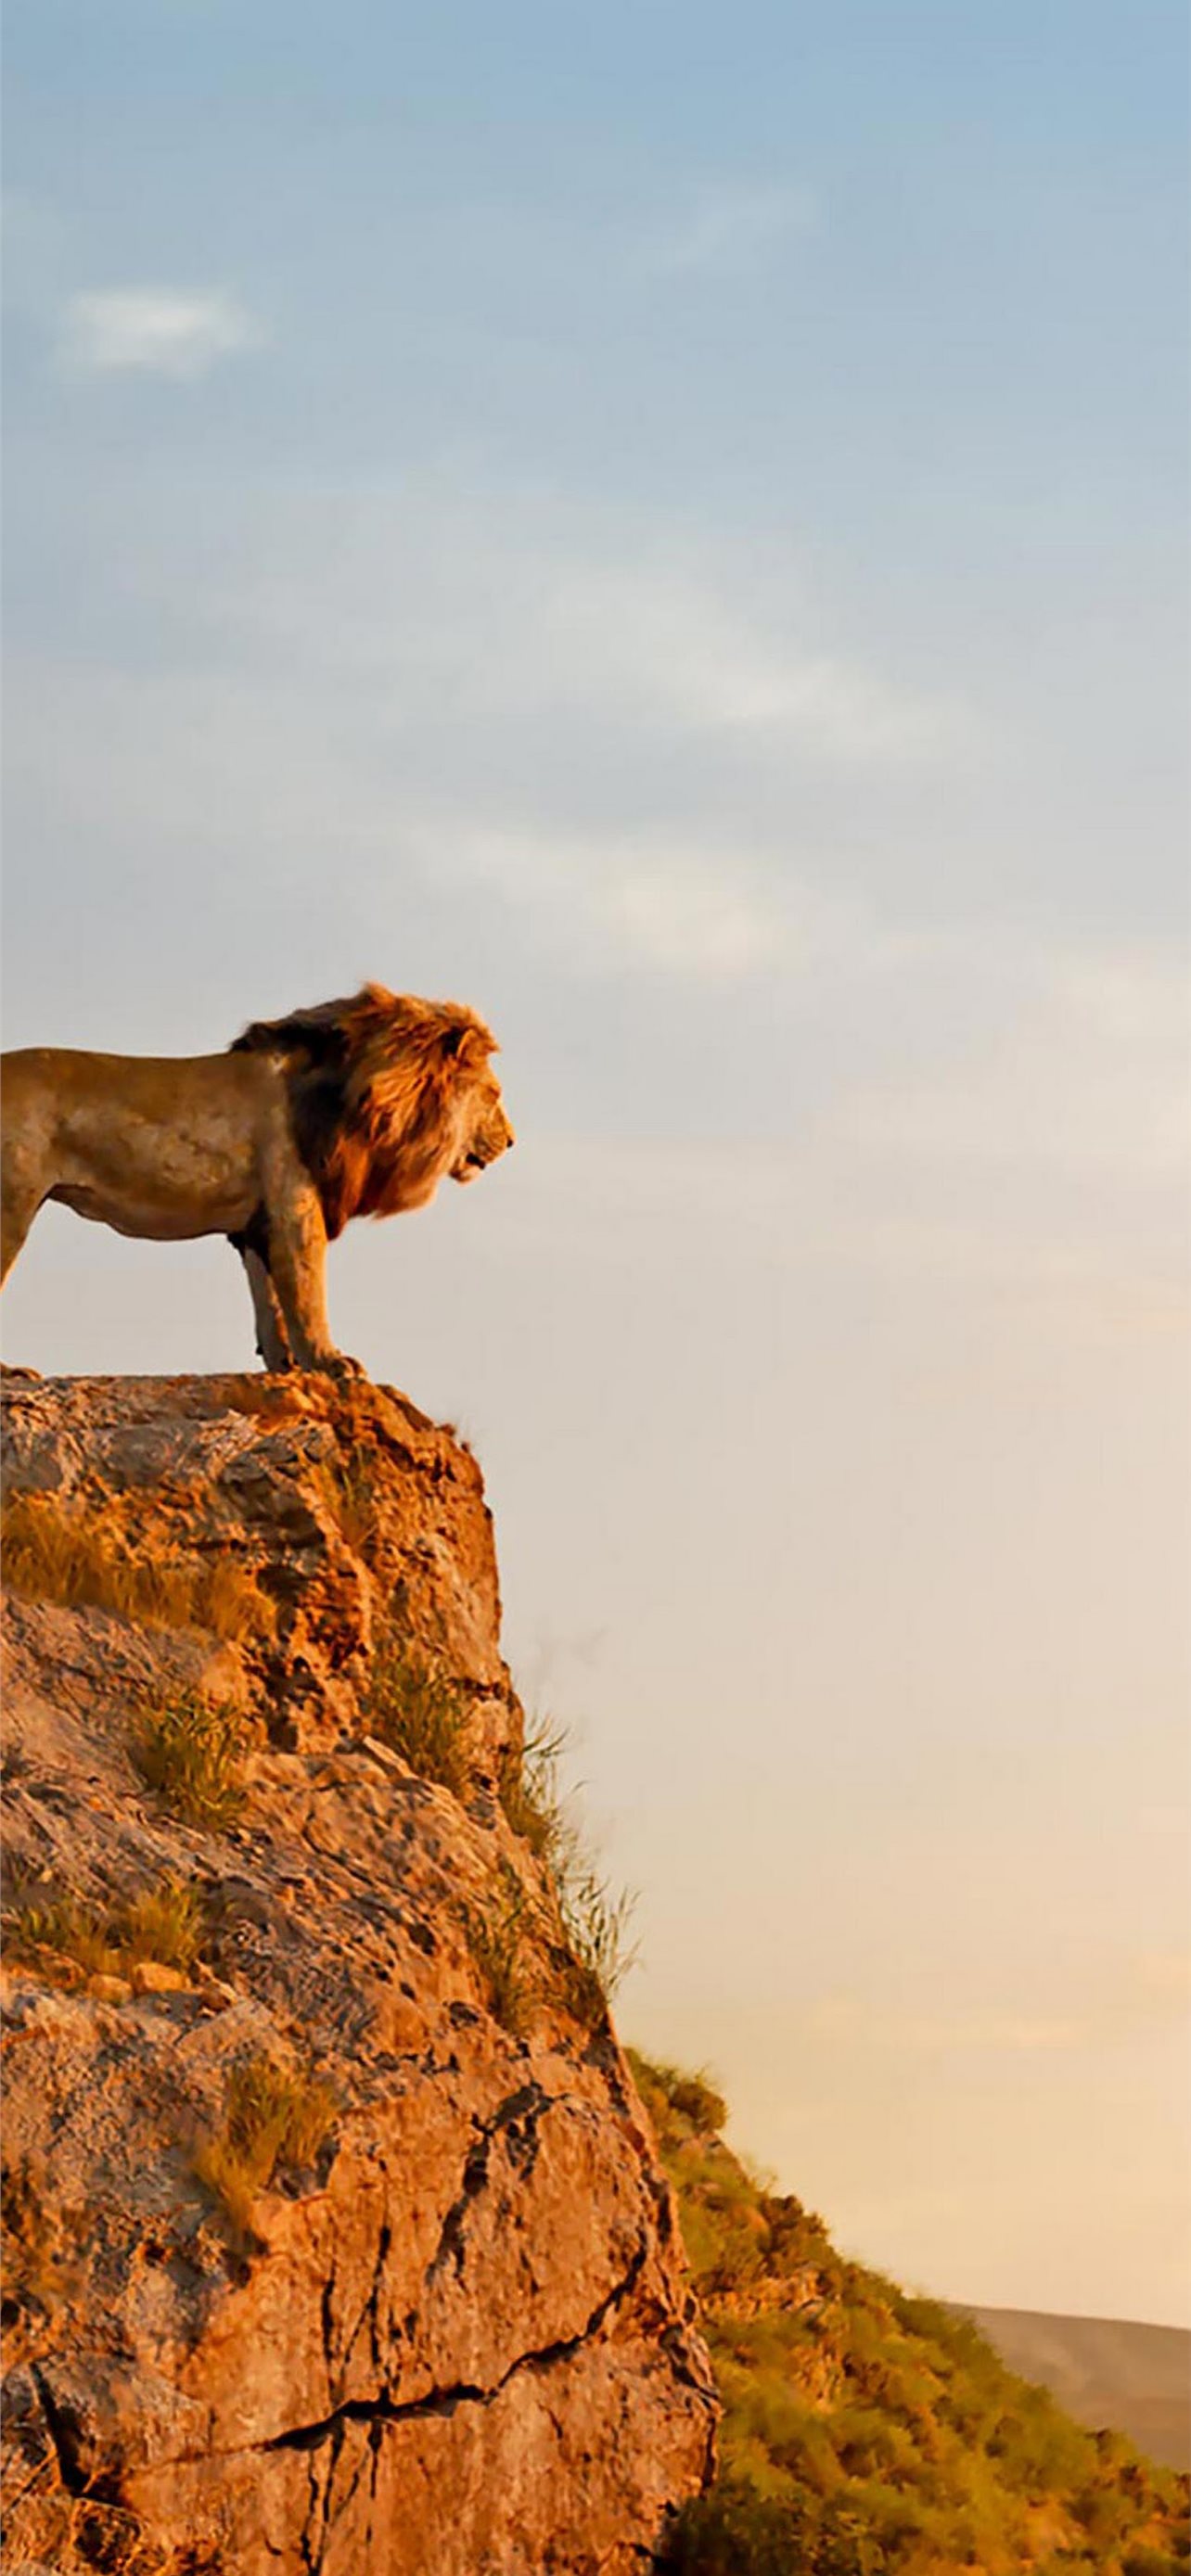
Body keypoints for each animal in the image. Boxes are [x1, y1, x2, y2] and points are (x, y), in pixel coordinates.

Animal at [0, 985, 514, 1374]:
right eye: (493, 1093)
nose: (511, 1141)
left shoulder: (256, 1225)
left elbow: (269, 1303)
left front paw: (285, 1367)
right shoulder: (295, 1208)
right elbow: (306, 1293)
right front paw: (330, 1363)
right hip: (12, 1206)